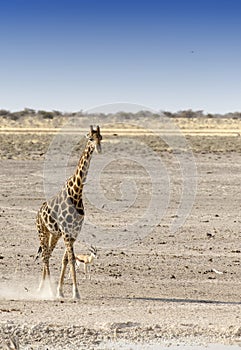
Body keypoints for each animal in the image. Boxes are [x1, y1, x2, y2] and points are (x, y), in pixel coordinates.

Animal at [35, 124, 101, 300]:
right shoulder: (66, 232)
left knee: (47, 254)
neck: (76, 193)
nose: (98, 148)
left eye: (101, 137)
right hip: (42, 231)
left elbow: (65, 259)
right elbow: (71, 259)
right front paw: (75, 293)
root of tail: (38, 213)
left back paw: (44, 289)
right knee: (45, 255)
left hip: (53, 234)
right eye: (90, 138)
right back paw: (47, 290)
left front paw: (61, 291)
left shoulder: (74, 232)